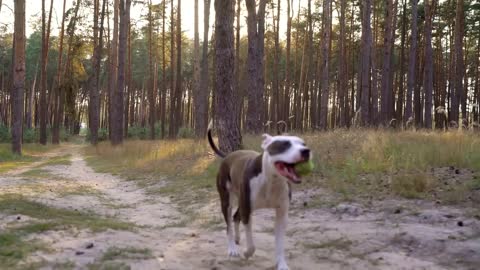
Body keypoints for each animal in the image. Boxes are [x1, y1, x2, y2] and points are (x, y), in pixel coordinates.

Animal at [207, 123, 312, 270]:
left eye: (304, 144)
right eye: (284, 145)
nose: (306, 151)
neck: (271, 180)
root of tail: (229, 155)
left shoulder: (281, 214)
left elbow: (280, 245)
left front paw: (282, 264)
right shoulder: (247, 211)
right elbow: (251, 245)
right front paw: (246, 253)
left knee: (235, 217)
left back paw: (237, 238)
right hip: (226, 200)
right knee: (228, 225)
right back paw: (232, 248)